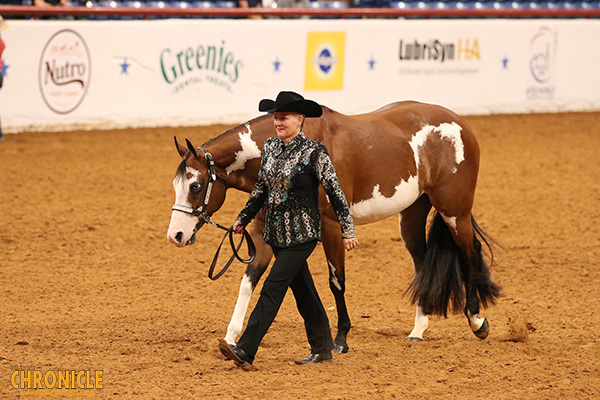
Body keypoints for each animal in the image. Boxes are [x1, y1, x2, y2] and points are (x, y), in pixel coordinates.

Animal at [166, 101, 500, 354]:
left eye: (196, 186)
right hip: (413, 214)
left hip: (454, 211)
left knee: (469, 253)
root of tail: (459, 123)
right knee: (422, 261)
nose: (176, 235)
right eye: (176, 185)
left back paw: (476, 321)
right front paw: (231, 337)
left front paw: (340, 340)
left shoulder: (331, 227)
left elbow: (336, 281)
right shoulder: (262, 235)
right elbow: (249, 282)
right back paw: (419, 328)